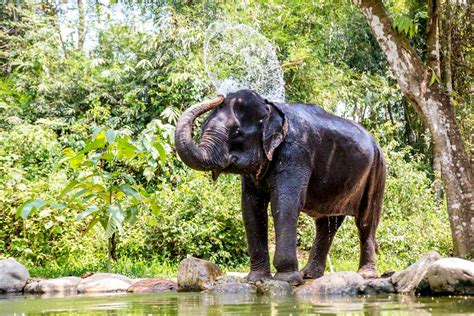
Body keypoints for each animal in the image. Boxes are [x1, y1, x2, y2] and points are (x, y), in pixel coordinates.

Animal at [174, 90, 386, 286]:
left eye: (236, 132)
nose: (218, 96)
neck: (270, 107)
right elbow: (251, 208)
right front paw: (256, 279)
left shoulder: (295, 152)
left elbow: (285, 204)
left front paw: (286, 279)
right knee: (326, 224)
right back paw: (309, 275)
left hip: (377, 170)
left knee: (366, 221)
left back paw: (365, 274)